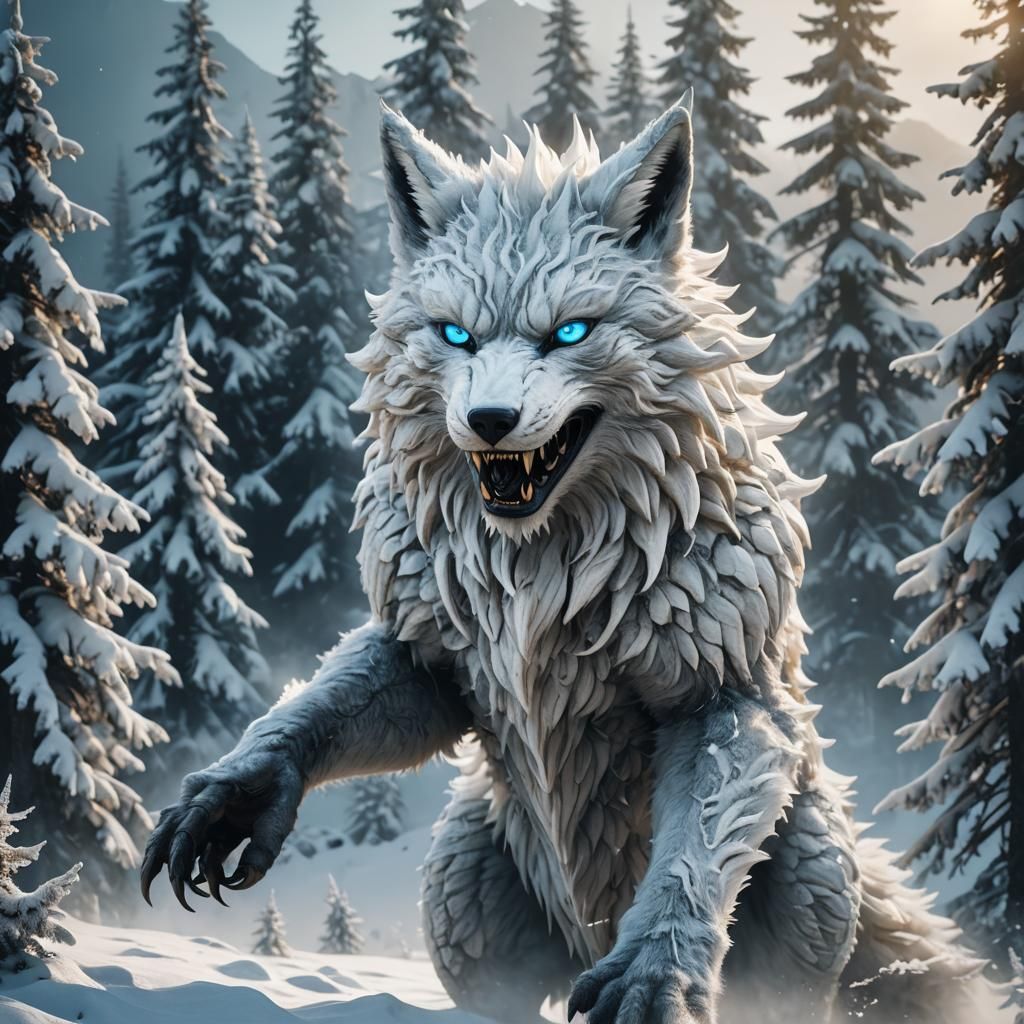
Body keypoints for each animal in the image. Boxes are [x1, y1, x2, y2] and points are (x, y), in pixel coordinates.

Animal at [142, 100, 987, 1024]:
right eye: (456, 335)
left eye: (570, 332)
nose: (490, 419)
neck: (540, 570)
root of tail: (583, 935)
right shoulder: (428, 656)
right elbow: (313, 712)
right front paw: (238, 792)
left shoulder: (720, 692)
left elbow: (689, 856)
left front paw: (653, 970)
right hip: (462, 896)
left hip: (810, 883)